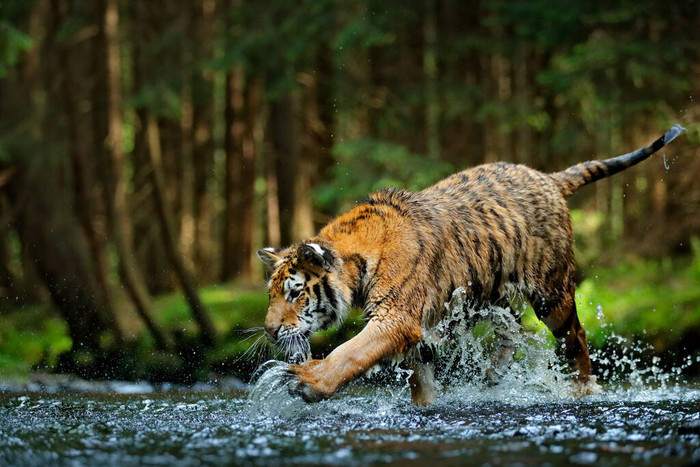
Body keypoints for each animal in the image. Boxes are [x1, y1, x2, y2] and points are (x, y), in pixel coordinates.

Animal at [256, 124, 684, 406]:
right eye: (272, 294)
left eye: (295, 293)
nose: (270, 331)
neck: (357, 263)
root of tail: (547, 177)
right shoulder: (419, 330)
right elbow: (421, 378)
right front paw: (426, 406)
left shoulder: (396, 317)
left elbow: (350, 352)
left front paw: (306, 380)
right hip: (489, 292)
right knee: (513, 330)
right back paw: (495, 373)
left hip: (552, 292)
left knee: (575, 339)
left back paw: (583, 392)